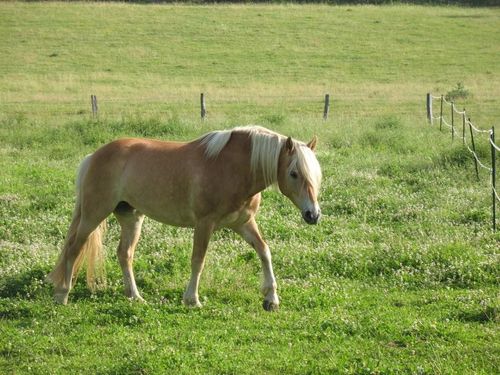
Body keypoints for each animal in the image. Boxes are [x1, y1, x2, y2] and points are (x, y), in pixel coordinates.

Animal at [46, 126, 320, 312]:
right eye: (294, 173)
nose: (313, 215)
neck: (232, 168)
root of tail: (94, 156)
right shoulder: (204, 224)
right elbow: (198, 260)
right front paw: (192, 299)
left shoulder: (242, 223)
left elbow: (264, 251)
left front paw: (271, 298)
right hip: (94, 213)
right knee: (73, 248)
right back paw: (62, 295)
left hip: (131, 217)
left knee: (124, 254)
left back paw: (135, 296)